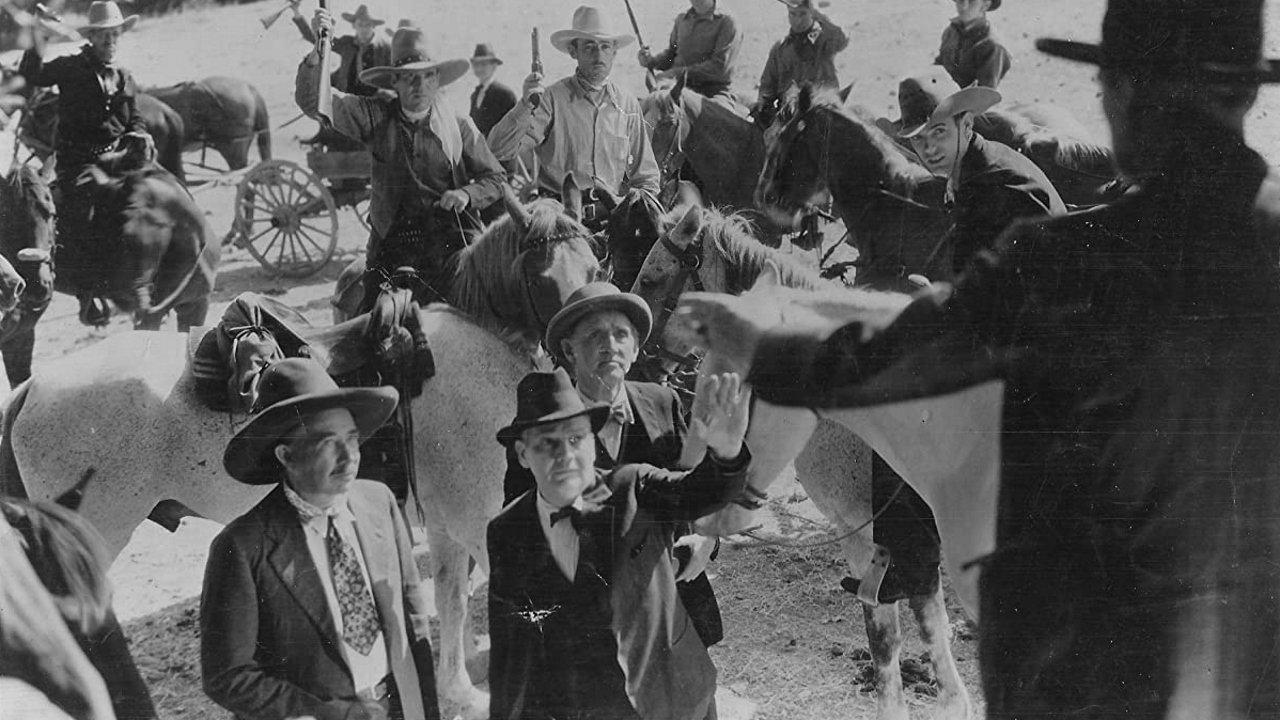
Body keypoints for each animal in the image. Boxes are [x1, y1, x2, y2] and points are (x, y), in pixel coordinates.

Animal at [0, 196, 606, 717]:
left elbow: (451, 597)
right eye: (543, 275)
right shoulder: (474, 516)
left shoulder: (443, 522)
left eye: (594, 260)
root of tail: (33, 386)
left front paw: (458, 690)